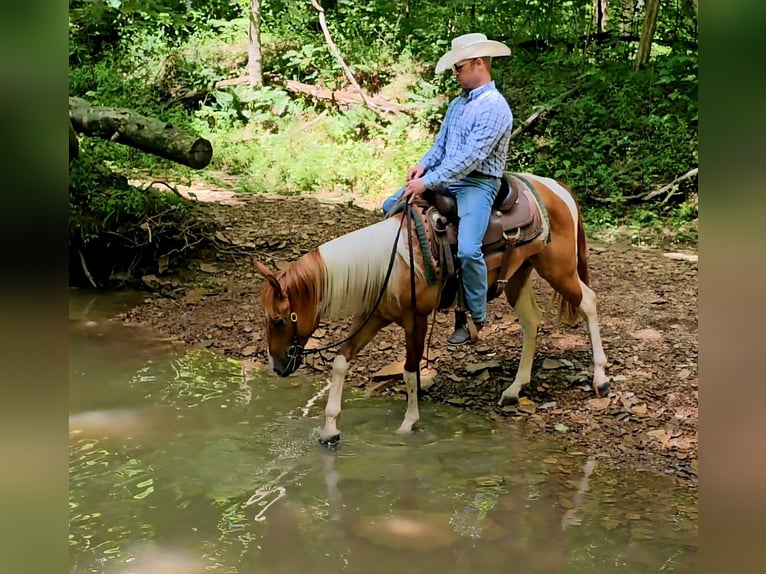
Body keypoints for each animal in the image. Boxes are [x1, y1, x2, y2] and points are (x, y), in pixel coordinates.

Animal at [255, 173, 609, 444]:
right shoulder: (375, 315)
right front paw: (330, 430)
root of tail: (556, 188)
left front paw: (408, 424)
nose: (276, 366)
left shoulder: (417, 319)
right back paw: (514, 389)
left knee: (588, 303)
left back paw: (601, 379)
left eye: (278, 320)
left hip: (559, 269)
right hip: (519, 274)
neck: (391, 263)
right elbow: (342, 361)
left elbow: (410, 371)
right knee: (531, 321)